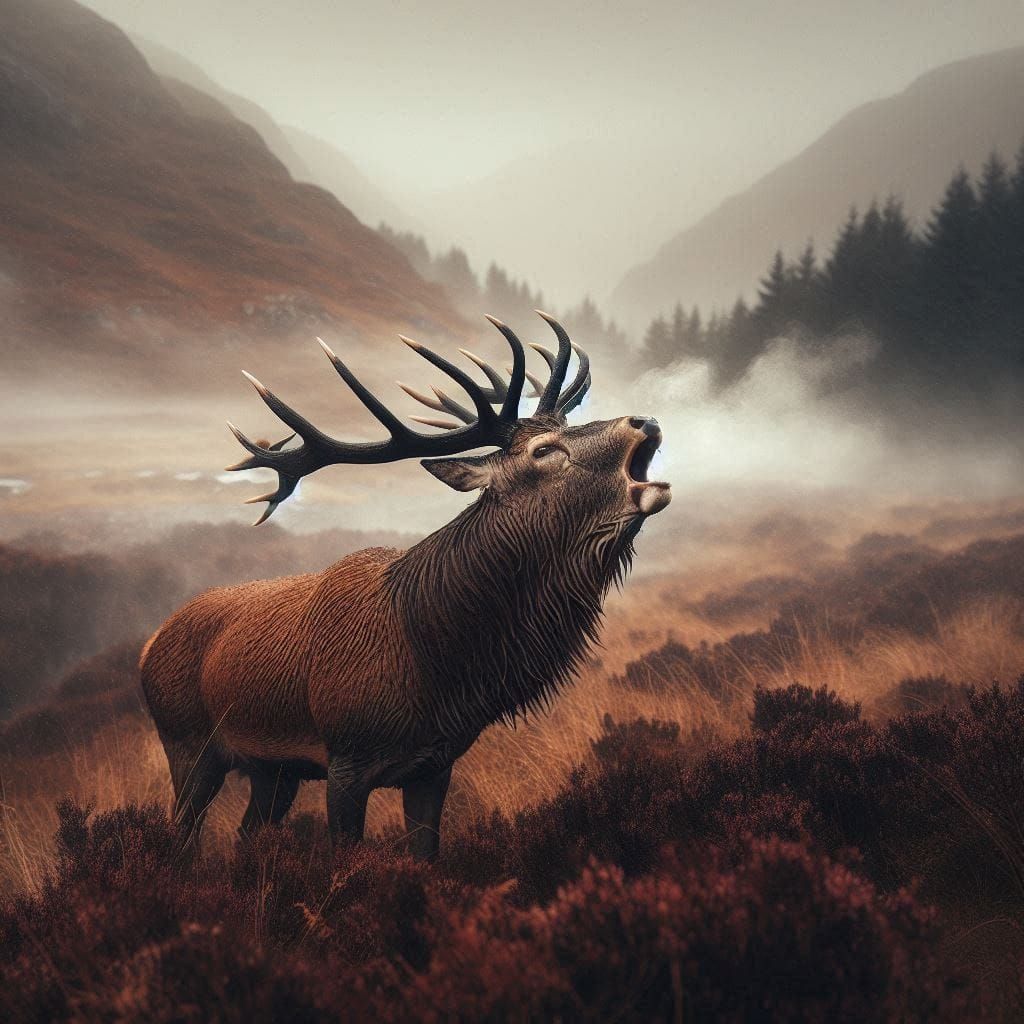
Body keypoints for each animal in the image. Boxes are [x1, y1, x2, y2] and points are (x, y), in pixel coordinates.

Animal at [139, 312, 671, 859]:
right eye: (544, 451)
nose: (643, 421)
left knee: (247, 834)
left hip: (274, 769)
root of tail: (149, 644)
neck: (434, 665)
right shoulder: (345, 761)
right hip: (187, 741)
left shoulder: (435, 765)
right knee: (182, 834)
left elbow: (426, 854)